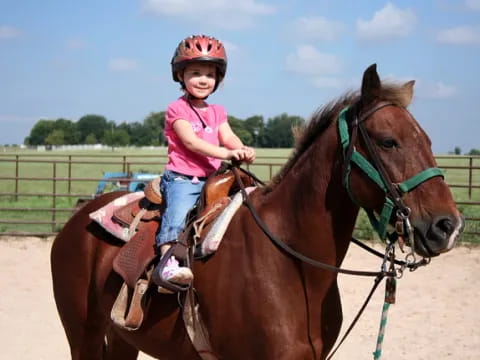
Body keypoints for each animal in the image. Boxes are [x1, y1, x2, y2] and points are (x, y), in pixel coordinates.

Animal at [50, 65, 464, 360]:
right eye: (388, 141)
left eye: (428, 141)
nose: (448, 226)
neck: (290, 261)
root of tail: (77, 220)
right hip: (82, 335)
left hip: (123, 337)